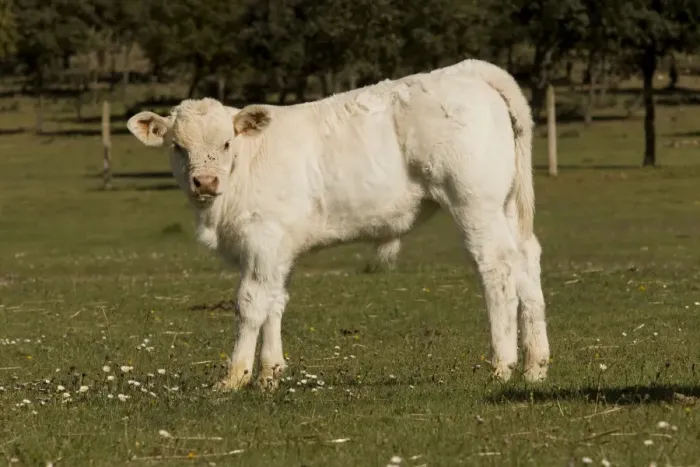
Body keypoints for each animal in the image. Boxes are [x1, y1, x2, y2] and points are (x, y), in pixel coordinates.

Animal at [126, 59, 550, 391]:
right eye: (178, 147)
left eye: (227, 143)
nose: (205, 182)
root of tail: (470, 70)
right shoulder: (280, 249)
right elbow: (275, 302)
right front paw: (269, 374)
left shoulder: (263, 241)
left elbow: (251, 304)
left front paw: (235, 377)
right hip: (505, 205)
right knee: (526, 262)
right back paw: (535, 366)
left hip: (474, 203)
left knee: (497, 269)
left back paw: (502, 365)